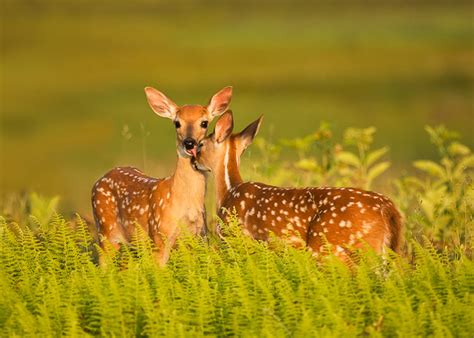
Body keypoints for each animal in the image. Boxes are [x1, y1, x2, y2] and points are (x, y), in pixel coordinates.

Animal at [91, 86, 232, 266]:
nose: (189, 142)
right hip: (105, 231)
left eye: (204, 123)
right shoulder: (160, 235)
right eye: (177, 123)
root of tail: (100, 179)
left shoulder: (198, 236)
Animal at [194, 110, 402, 258]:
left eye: (201, 145)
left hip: (331, 247)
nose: (193, 160)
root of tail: (389, 209)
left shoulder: (236, 239)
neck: (230, 190)